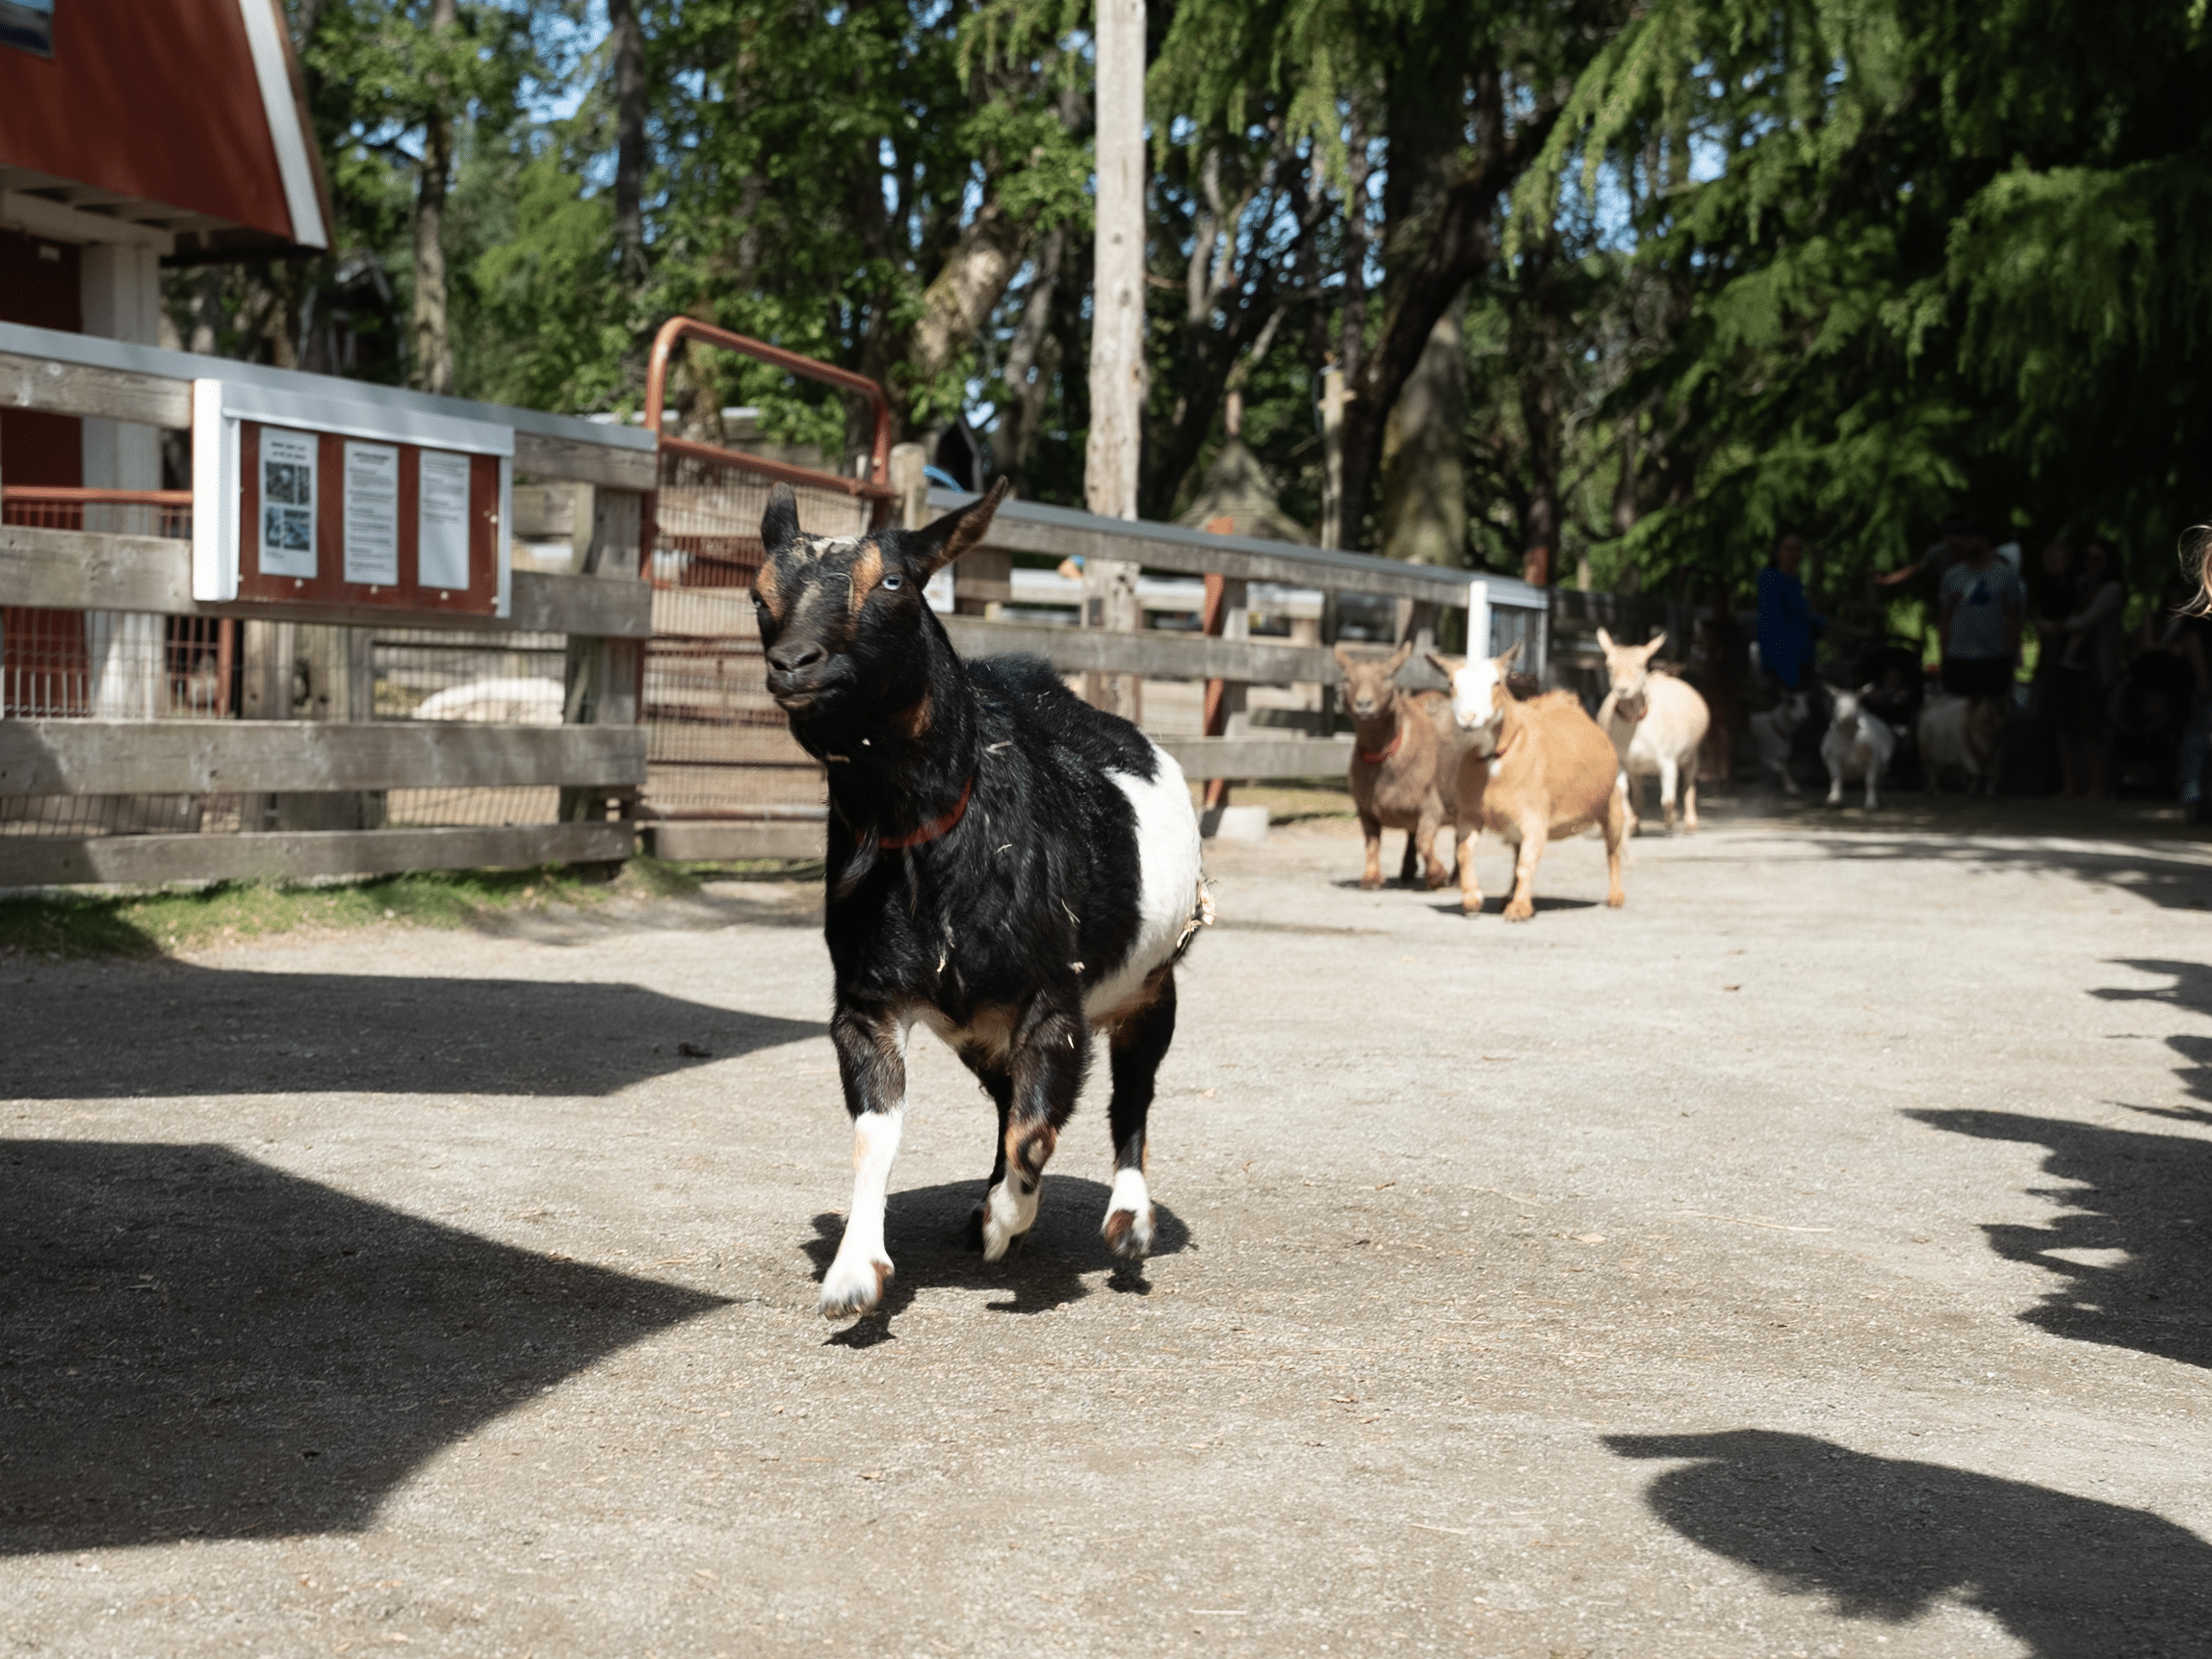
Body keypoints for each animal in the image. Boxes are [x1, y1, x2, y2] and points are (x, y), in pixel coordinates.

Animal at [756, 480, 1211, 1327]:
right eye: (758, 593)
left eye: (893, 581)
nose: (793, 662)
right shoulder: (867, 1003)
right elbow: (878, 1133)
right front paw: (854, 1272)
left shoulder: (1055, 1002)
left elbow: (1038, 1134)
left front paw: (1008, 1220)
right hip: (982, 1029)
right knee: (1011, 1102)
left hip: (1150, 985)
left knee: (1128, 1095)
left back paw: (1128, 1220)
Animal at [1336, 641, 1460, 889]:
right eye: (1346, 678)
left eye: (1388, 676)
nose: (1364, 704)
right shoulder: (1365, 808)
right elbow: (1372, 844)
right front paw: (1371, 878)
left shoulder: (1431, 804)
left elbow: (1425, 841)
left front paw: (1437, 876)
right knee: (1412, 834)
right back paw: (1407, 869)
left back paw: (1456, 878)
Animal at [1424, 641, 1636, 924]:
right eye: (1450, 683)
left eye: (1497, 682)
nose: (1469, 717)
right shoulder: (1469, 814)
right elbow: (1464, 852)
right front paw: (1472, 899)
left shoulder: (1534, 815)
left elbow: (1526, 864)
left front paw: (1519, 909)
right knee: (1515, 853)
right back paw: (1507, 896)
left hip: (1611, 803)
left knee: (1612, 849)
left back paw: (1615, 896)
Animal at [1822, 689, 1893, 814]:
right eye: (1835, 704)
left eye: (1856, 704)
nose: (1845, 719)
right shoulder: (1833, 758)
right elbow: (1836, 778)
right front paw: (1834, 801)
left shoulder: (1873, 760)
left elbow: (1871, 782)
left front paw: (1871, 805)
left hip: (1881, 766)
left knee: (1879, 781)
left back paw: (1881, 800)